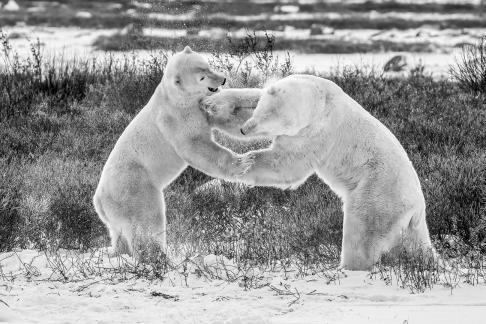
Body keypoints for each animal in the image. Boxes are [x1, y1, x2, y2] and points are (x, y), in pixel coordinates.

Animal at [93, 46, 264, 254]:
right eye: (202, 77)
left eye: (207, 65)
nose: (222, 79)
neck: (175, 96)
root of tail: (99, 201)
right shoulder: (177, 117)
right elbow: (196, 147)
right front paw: (243, 162)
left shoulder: (199, 107)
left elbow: (229, 119)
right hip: (134, 187)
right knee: (147, 222)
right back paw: (157, 255)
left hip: (116, 214)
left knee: (118, 234)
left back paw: (119, 253)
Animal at [204, 74, 432, 270]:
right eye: (261, 113)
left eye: (268, 124)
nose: (245, 130)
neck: (319, 101)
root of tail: (418, 208)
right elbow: (251, 96)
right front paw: (212, 103)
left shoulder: (314, 133)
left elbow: (286, 164)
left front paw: (240, 163)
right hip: (406, 222)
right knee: (418, 245)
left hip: (377, 195)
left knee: (361, 234)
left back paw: (346, 268)